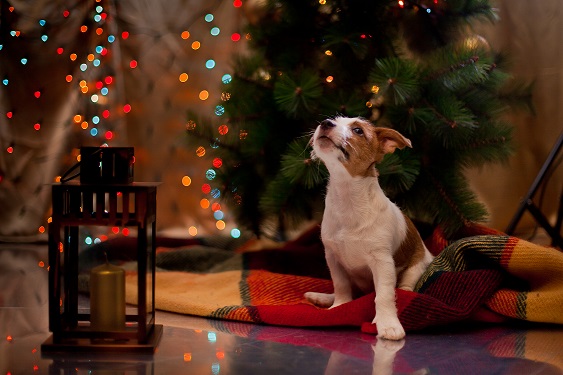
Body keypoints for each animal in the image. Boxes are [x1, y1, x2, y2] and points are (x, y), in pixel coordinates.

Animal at [306, 117, 434, 340]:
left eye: (358, 130)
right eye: (333, 119)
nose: (326, 122)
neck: (348, 198)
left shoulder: (382, 262)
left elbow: (383, 295)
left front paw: (388, 324)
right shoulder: (333, 258)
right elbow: (341, 286)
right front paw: (338, 307)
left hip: (416, 267)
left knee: (405, 287)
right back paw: (322, 298)